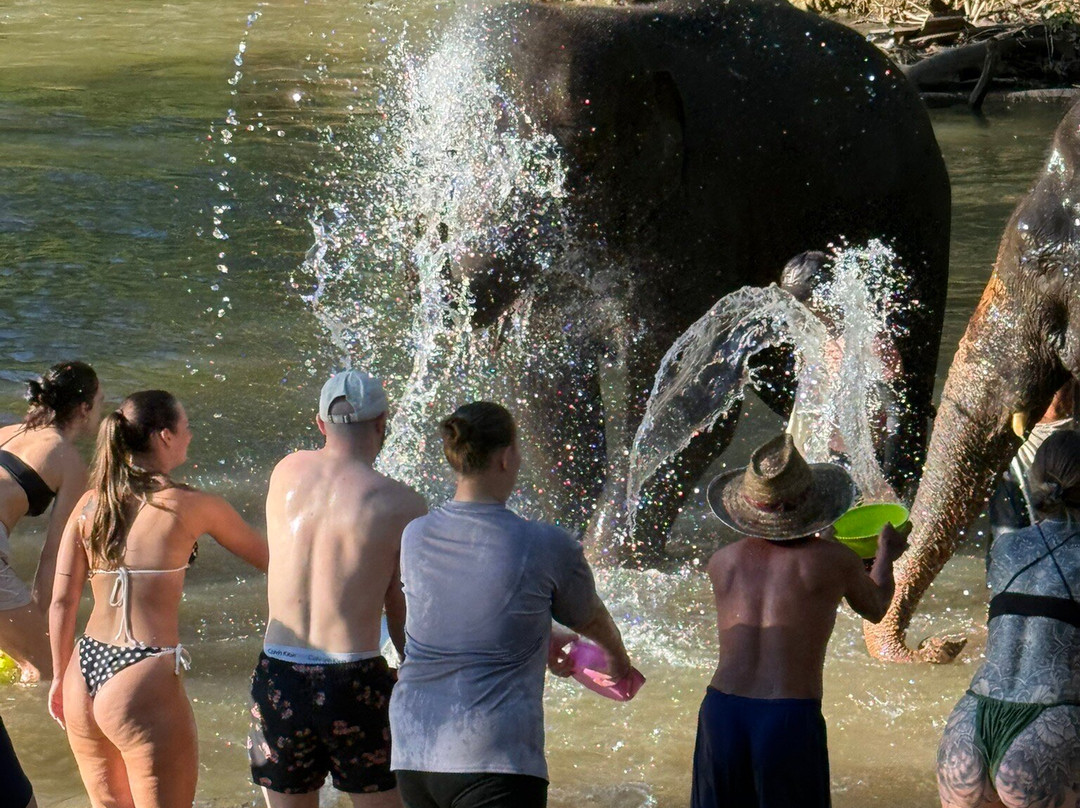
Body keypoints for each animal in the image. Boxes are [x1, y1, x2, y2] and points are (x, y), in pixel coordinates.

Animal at [444, 0, 951, 563]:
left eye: (574, 165)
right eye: (441, 153)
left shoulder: (701, 217)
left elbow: (687, 401)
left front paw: (610, 562)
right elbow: (541, 385)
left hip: (914, 215)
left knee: (903, 363)